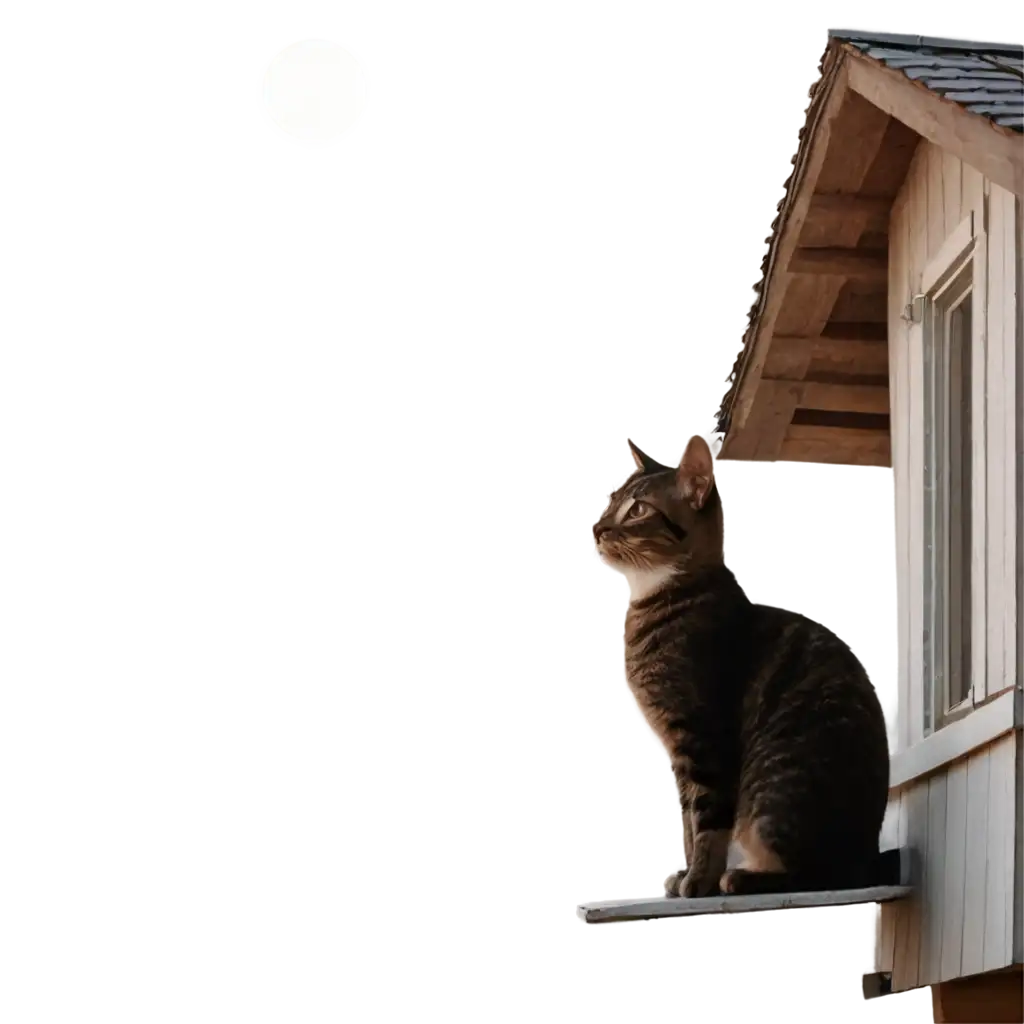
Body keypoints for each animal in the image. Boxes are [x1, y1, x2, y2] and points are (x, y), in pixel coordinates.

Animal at [589, 432, 892, 897]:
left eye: (638, 509)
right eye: (611, 502)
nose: (598, 528)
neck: (658, 593)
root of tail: (870, 857)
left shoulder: (704, 739)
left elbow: (709, 823)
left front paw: (699, 881)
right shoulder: (682, 756)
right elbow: (689, 825)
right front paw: (685, 873)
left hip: (776, 784)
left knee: (821, 876)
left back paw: (744, 878)